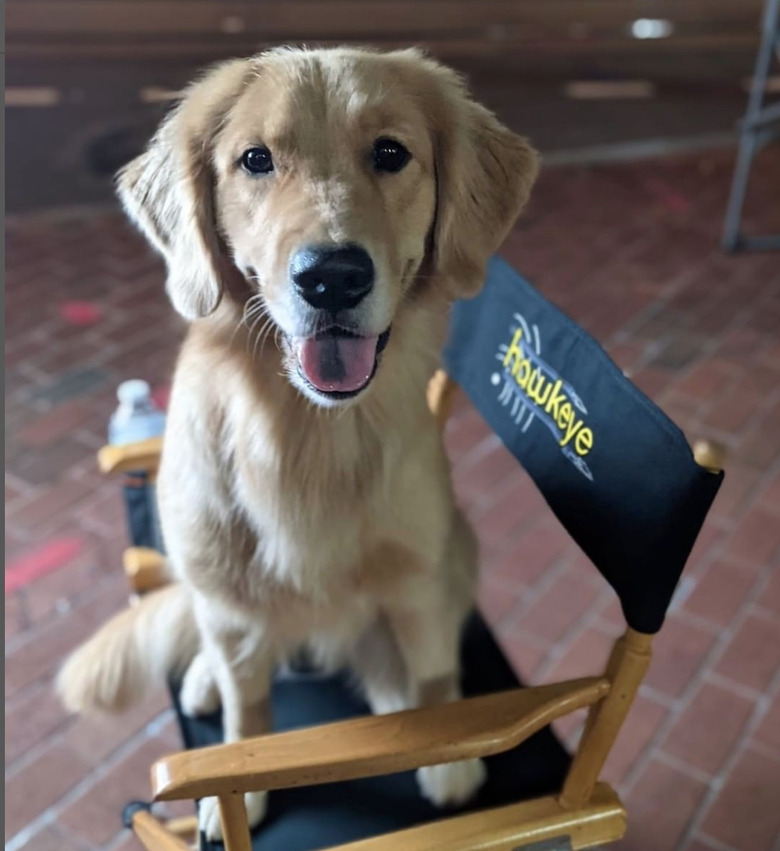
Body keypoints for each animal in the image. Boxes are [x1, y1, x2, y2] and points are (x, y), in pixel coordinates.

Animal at [58, 46, 540, 840]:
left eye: (391, 153)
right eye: (255, 159)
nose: (332, 277)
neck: (307, 434)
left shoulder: (419, 570)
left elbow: (434, 667)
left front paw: (447, 753)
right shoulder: (227, 597)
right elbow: (247, 704)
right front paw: (238, 787)